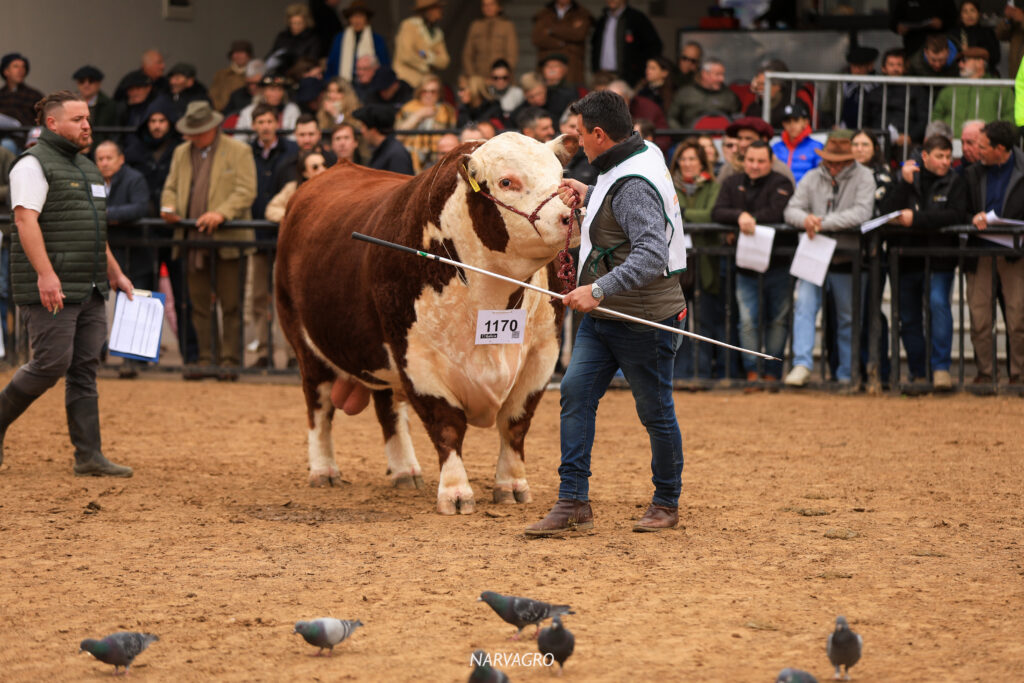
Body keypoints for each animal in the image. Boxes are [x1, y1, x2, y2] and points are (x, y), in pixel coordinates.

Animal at [276, 133, 581, 516]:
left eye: (559, 174)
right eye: (506, 182)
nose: (571, 214)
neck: (489, 292)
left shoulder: (542, 353)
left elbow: (515, 423)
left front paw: (511, 485)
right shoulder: (416, 357)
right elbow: (446, 425)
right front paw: (455, 492)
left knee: (388, 410)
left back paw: (405, 470)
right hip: (306, 345)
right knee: (318, 408)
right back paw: (324, 469)